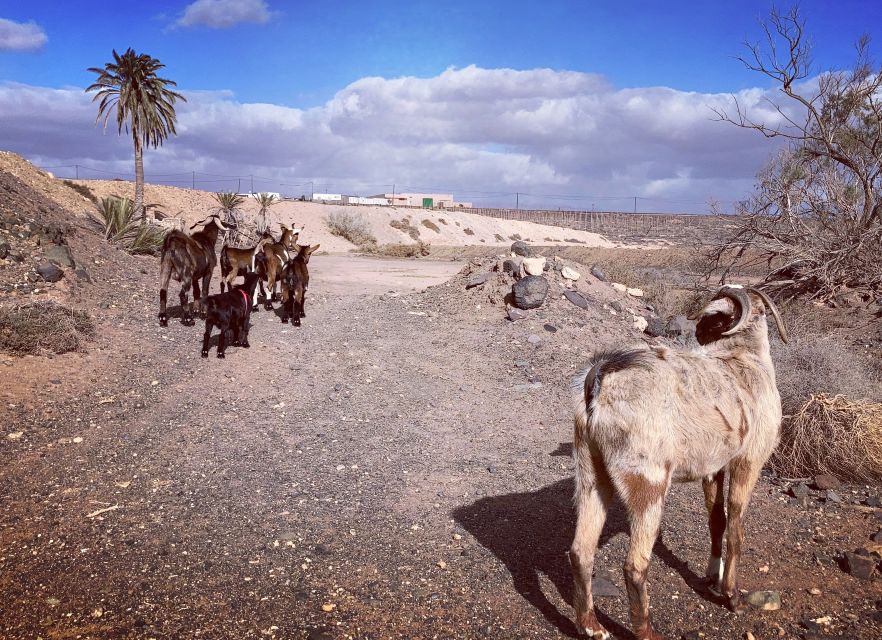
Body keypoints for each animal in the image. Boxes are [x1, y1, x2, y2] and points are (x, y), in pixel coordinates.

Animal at [568, 286, 788, 640]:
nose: (696, 330)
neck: (746, 360)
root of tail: (599, 383)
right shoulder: (749, 461)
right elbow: (735, 529)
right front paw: (732, 596)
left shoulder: (713, 468)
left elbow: (716, 521)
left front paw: (711, 577)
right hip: (648, 482)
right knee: (635, 565)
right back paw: (646, 631)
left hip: (591, 471)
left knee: (580, 551)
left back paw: (591, 626)